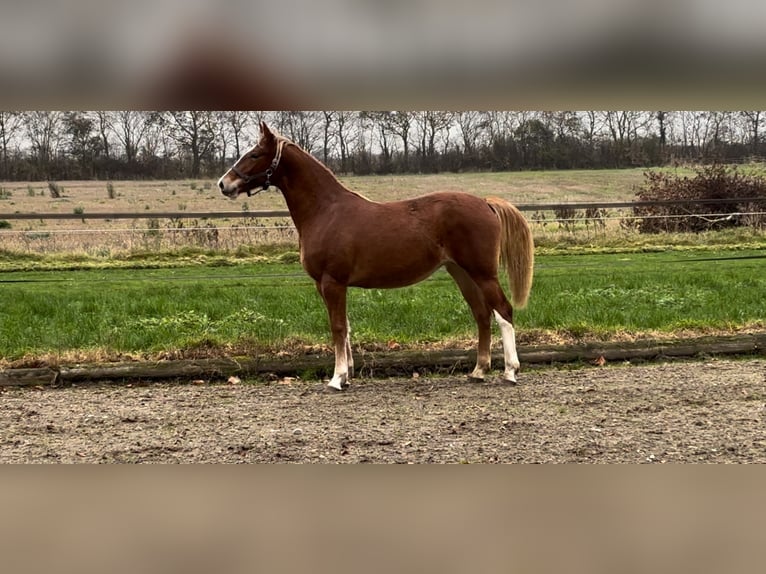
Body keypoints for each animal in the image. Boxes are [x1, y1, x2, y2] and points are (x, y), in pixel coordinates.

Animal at [219, 122, 536, 392]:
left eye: (255, 153)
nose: (224, 183)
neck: (326, 211)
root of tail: (485, 203)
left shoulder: (332, 282)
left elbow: (337, 326)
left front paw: (336, 379)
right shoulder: (326, 285)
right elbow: (345, 326)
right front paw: (346, 376)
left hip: (483, 273)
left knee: (503, 311)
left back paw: (510, 372)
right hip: (461, 273)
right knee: (482, 315)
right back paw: (478, 371)